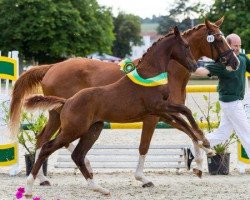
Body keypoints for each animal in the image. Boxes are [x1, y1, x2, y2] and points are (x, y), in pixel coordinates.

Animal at [9, 17, 240, 188]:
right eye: (218, 40)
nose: (235, 62)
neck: (167, 72)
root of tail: (51, 67)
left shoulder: (164, 113)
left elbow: (187, 127)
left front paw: (202, 158)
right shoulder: (155, 114)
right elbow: (149, 143)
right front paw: (143, 178)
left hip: (61, 115)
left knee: (45, 138)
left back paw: (50, 176)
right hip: (63, 115)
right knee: (51, 141)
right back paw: (48, 175)